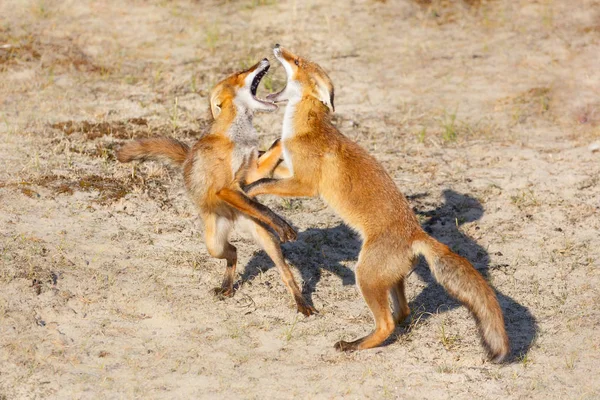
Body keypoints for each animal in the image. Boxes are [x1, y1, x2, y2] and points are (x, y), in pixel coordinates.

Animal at [115, 58, 316, 316]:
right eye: (241, 73)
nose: (264, 59)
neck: (239, 139)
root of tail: (234, 220)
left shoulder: (249, 175)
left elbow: (268, 161)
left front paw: (284, 136)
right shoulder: (227, 188)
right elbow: (263, 208)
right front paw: (283, 226)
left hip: (265, 240)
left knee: (280, 272)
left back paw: (298, 302)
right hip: (214, 245)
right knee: (234, 252)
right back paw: (228, 286)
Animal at [246, 45, 508, 360]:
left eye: (296, 61)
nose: (276, 45)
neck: (306, 129)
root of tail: (416, 233)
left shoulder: (306, 185)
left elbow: (264, 184)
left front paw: (249, 190)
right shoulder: (293, 173)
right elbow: (271, 171)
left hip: (365, 276)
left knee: (385, 324)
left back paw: (353, 344)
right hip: (390, 280)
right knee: (402, 313)